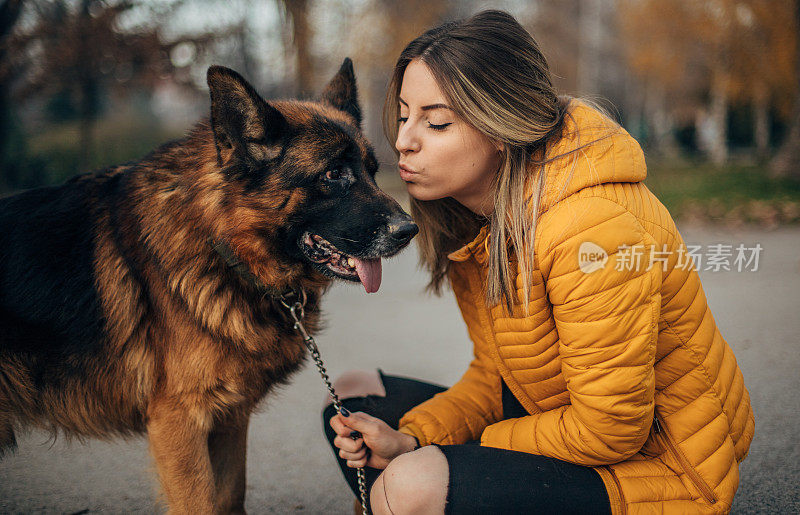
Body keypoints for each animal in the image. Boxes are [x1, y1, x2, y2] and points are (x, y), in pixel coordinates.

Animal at [0, 59, 412, 512]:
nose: (408, 231)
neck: (222, 245)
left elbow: (230, 495)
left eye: (372, 172)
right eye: (333, 174)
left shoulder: (229, 416)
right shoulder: (180, 423)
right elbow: (200, 502)